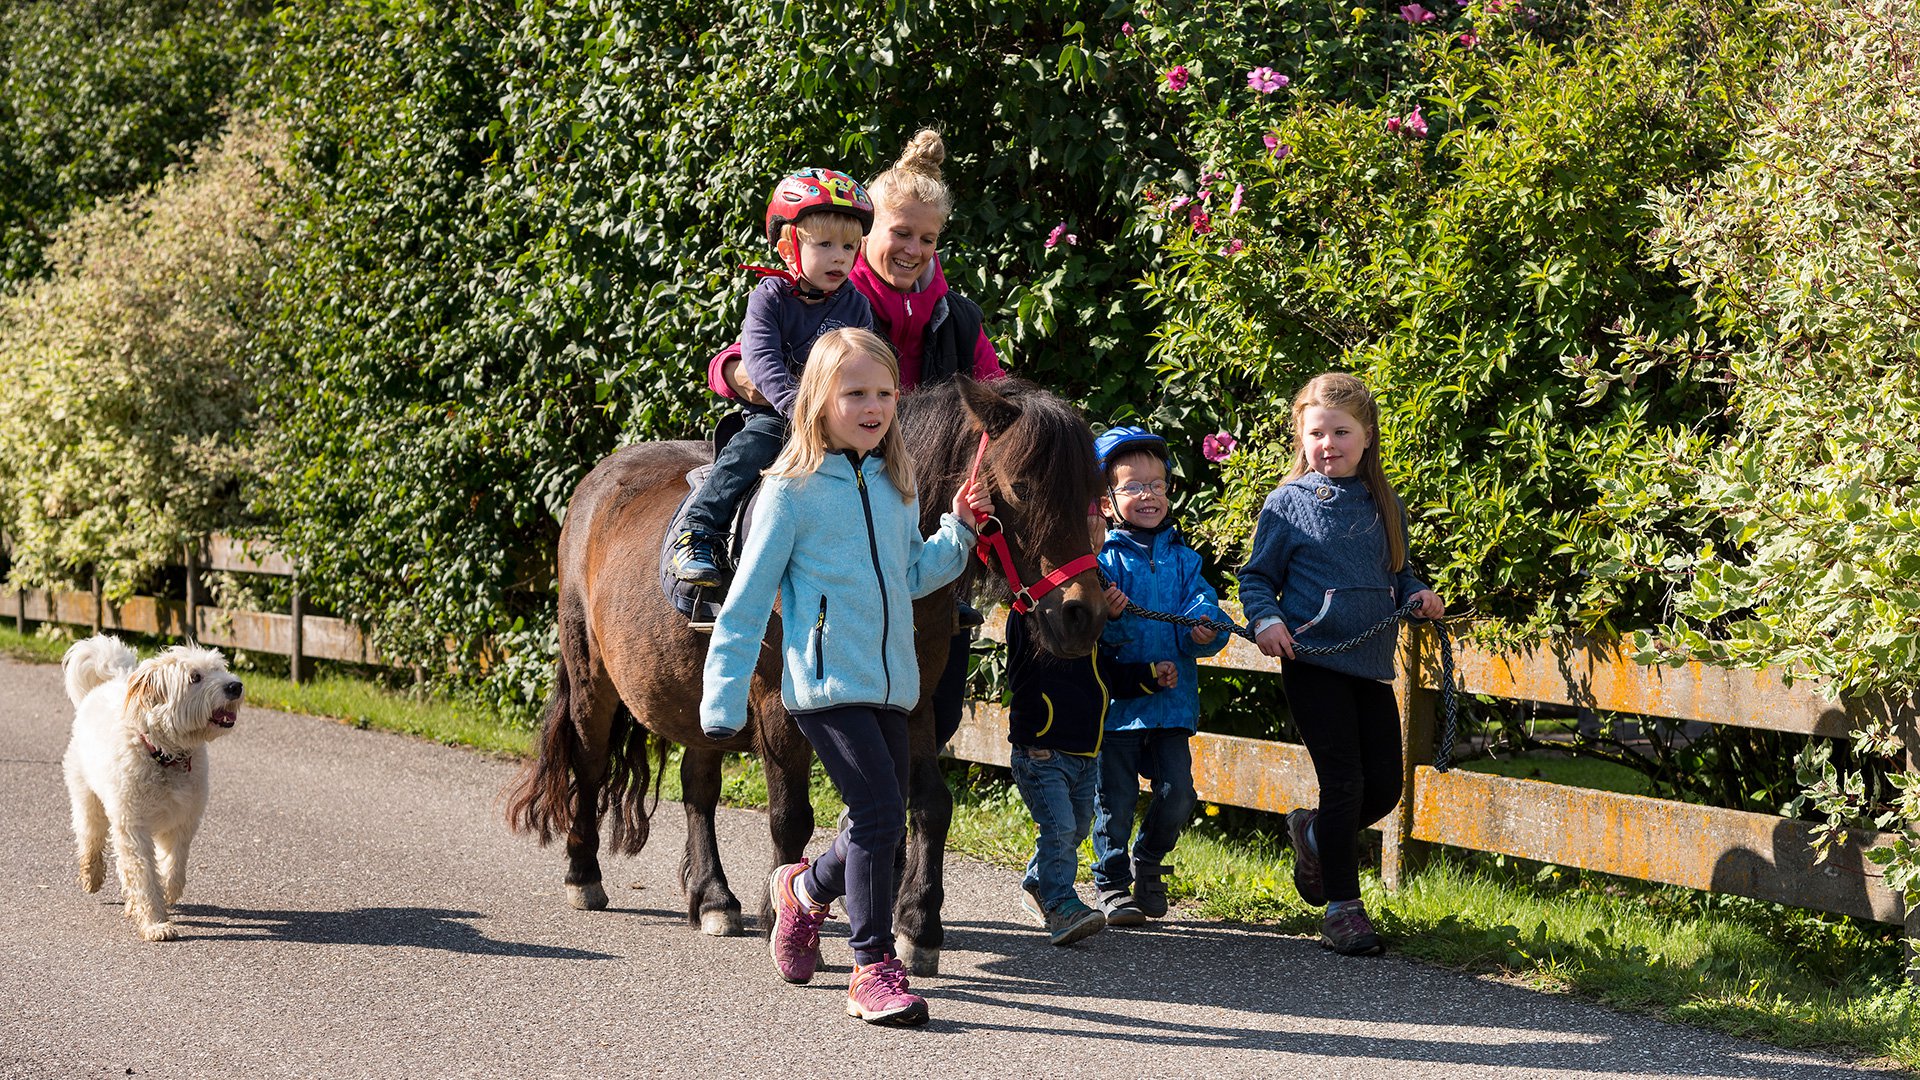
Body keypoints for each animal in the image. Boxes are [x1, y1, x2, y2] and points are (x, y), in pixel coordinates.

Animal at [61, 630, 241, 933]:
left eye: (219, 668)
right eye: (195, 677)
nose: (236, 686)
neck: (165, 755)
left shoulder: (183, 821)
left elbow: (173, 863)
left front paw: (168, 892)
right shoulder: (133, 826)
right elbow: (143, 874)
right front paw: (155, 922)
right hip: (86, 795)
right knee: (90, 835)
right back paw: (92, 875)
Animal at [503, 378, 1105, 976]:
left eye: (1090, 492)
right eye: (1020, 486)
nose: (1083, 615)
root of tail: (596, 483)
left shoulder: (913, 703)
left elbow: (930, 806)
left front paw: (917, 925)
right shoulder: (778, 706)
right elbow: (791, 815)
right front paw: (783, 917)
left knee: (698, 787)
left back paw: (712, 897)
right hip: (593, 680)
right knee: (589, 762)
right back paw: (585, 874)